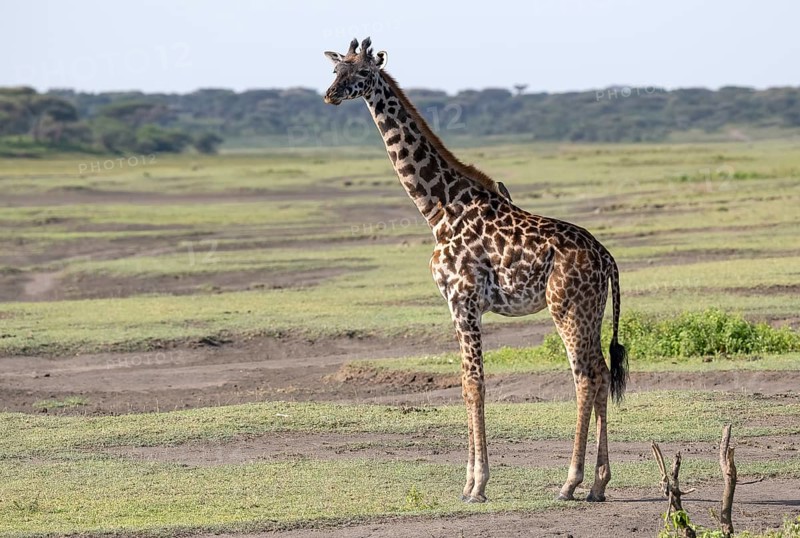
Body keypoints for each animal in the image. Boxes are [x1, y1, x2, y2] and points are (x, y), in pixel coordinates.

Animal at [323, 37, 628, 503]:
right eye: (336, 69)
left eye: (362, 73)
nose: (330, 95)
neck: (438, 209)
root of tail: (607, 258)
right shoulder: (455, 306)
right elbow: (466, 383)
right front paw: (468, 482)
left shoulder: (463, 301)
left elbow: (474, 384)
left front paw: (478, 484)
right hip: (590, 312)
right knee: (602, 373)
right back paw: (598, 484)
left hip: (567, 309)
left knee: (585, 377)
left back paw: (570, 482)